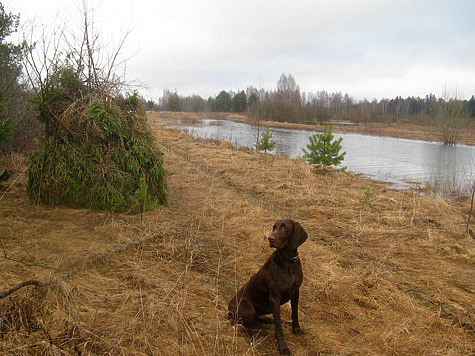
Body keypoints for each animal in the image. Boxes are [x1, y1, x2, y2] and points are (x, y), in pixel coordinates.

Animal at [230, 218, 310, 354]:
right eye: (274, 227)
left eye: (284, 227)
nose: (270, 238)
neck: (289, 261)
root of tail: (228, 307)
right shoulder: (275, 298)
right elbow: (279, 326)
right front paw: (283, 347)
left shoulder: (295, 292)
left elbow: (295, 313)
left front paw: (296, 328)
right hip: (248, 309)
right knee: (240, 322)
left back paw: (266, 320)